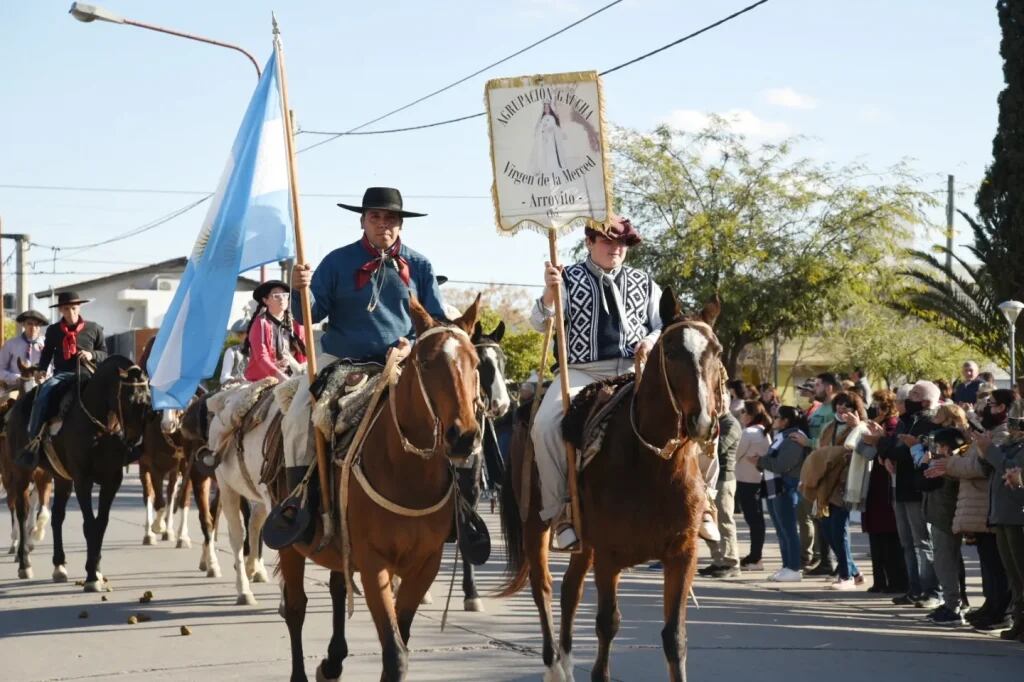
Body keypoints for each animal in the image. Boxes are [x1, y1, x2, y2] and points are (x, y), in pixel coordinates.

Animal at [276, 296, 483, 679]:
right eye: (426, 363)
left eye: (475, 363)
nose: (463, 436)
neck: (407, 474)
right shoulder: (375, 564)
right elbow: (394, 651)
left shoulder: (425, 564)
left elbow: (400, 639)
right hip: (289, 544)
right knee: (296, 609)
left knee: (337, 587)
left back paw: (333, 661)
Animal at [497, 288, 724, 679]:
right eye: (671, 352)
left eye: (717, 351)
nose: (704, 421)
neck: (653, 465)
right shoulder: (609, 555)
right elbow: (607, 623)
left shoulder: (682, 554)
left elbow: (674, 637)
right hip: (535, 523)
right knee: (543, 587)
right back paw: (553, 665)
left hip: (583, 542)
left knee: (570, 589)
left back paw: (567, 660)